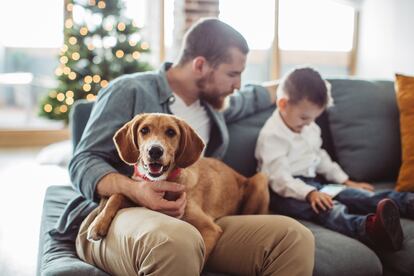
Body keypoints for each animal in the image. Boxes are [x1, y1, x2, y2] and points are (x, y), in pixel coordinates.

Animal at [87, 112, 270, 260]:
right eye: (144, 130)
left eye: (171, 132)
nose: (155, 150)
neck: (163, 182)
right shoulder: (140, 196)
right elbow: (116, 195)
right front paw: (98, 224)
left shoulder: (210, 229)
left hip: (260, 179)